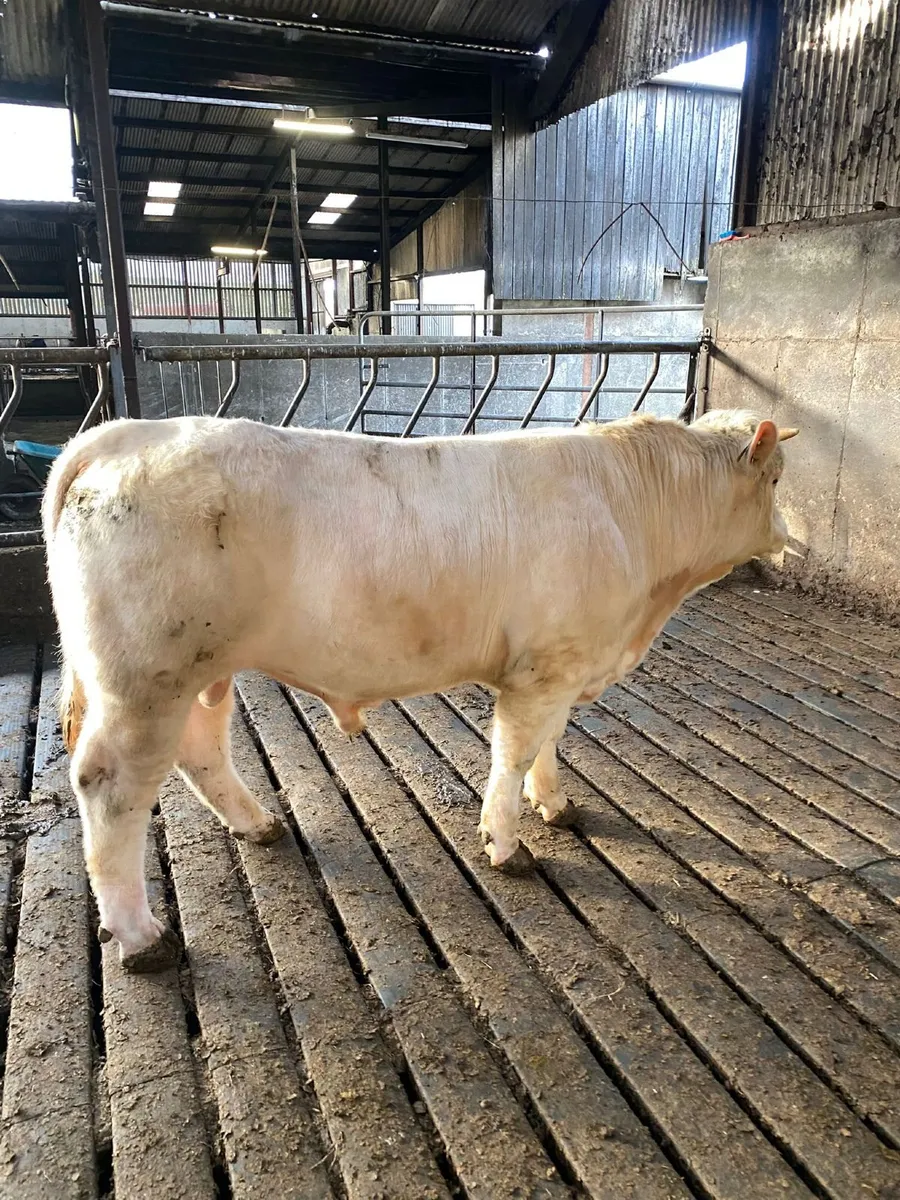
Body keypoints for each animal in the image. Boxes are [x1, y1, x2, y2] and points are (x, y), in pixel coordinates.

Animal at [42, 408, 797, 972]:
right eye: (776, 477)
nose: (790, 541)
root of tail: (128, 432)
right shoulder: (544, 667)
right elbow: (515, 752)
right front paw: (506, 844)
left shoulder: (567, 663)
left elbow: (550, 745)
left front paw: (555, 806)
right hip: (145, 680)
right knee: (110, 787)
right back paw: (143, 938)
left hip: (198, 671)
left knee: (200, 749)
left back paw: (258, 825)